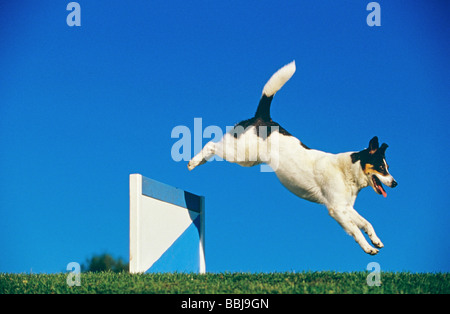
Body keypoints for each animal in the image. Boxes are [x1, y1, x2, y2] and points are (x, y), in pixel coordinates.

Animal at [188, 61, 400, 255]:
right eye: (381, 167)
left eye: (388, 167)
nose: (395, 183)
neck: (347, 170)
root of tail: (264, 118)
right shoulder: (336, 209)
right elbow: (356, 230)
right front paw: (368, 248)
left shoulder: (346, 207)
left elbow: (366, 223)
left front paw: (376, 240)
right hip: (241, 154)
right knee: (211, 145)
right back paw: (194, 162)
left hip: (247, 158)